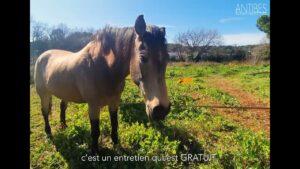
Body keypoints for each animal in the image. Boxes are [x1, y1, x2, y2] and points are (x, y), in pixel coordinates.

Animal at [34, 15, 170, 153]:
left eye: (167, 58)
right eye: (143, 58)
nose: (161, 110)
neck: (102, 67)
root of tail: (42, 56)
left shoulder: (114, 101)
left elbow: (114, 124)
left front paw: (117, 145)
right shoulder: (93, 105)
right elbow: (95, 131)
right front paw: (94, 152)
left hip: (64, 93)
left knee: (62, 107)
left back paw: (64, 126)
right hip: (44, 94)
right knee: (45, 112)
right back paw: (49, 133)